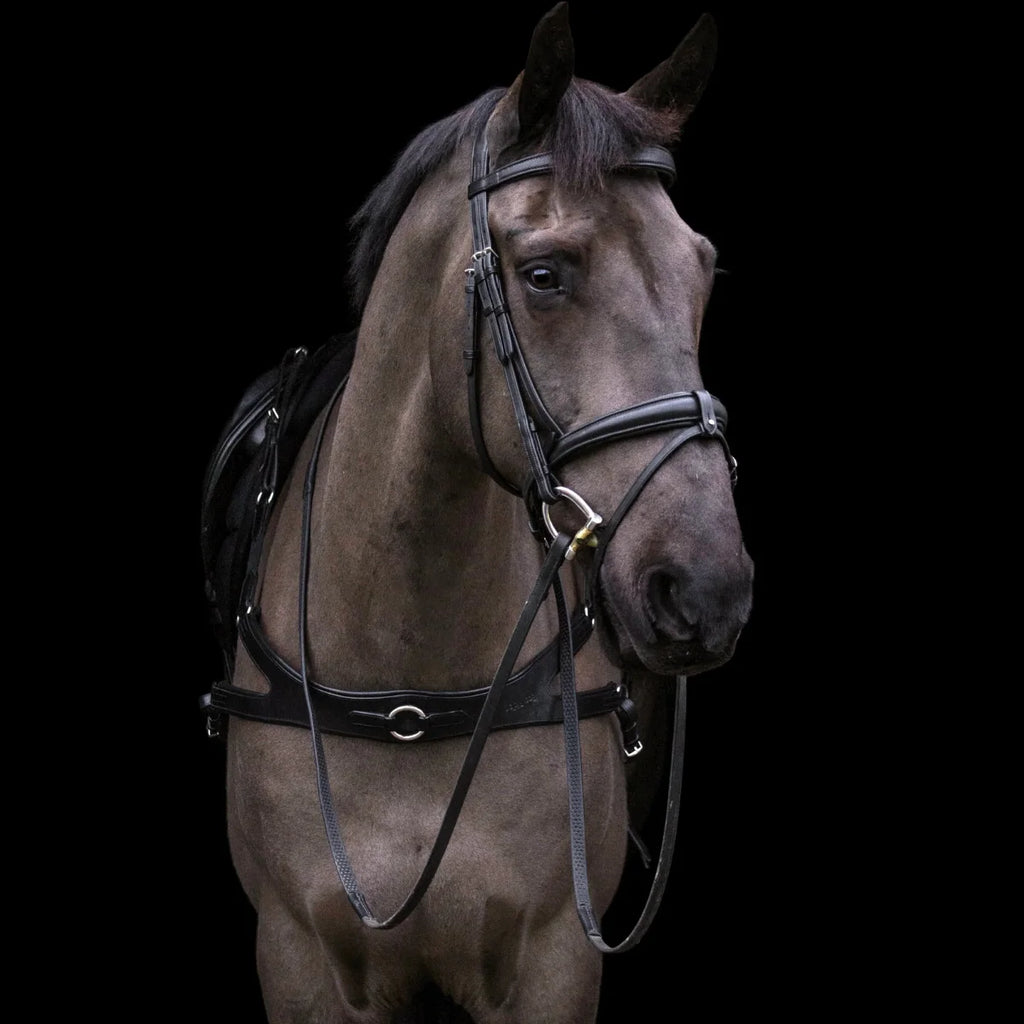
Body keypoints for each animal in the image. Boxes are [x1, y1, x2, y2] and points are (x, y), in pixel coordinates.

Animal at [200, 4, 753, 1021]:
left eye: (702, 268)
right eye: (543, 275)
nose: (704, 588)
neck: (407, 688)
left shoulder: (552, 961)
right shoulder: (298, 957)